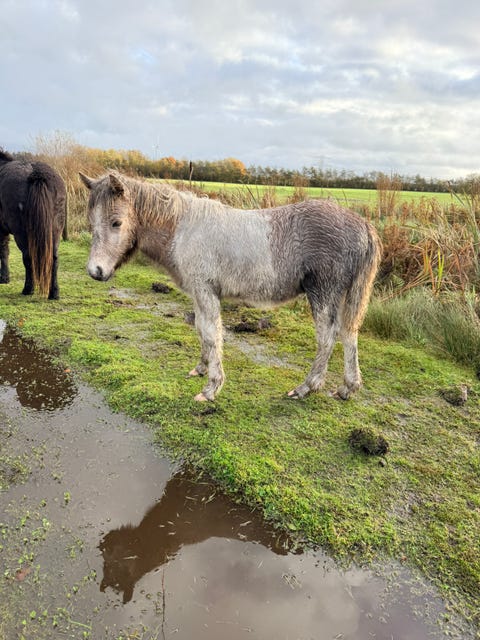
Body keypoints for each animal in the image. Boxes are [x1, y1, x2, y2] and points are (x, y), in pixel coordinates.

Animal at [0, 150, 66, 299]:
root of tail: (36, 174)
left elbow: (2, 251)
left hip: (21, 233)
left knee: (28, 257)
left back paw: (28, 289)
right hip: (55, 231)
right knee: (54, 259)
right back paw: (54, 293)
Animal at [80, 171, 381, 401]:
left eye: (116, 222)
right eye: (91, 221)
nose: (96, 271)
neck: (182, 227)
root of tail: (363, 225)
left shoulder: (206, 292)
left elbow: (213, 334)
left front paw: (211, 389)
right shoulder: (199, 294)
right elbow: (202, 329)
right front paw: (200, 369)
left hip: (323, 293)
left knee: (328, 337)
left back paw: (307, 387)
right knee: (349, 333)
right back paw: (347, 388)